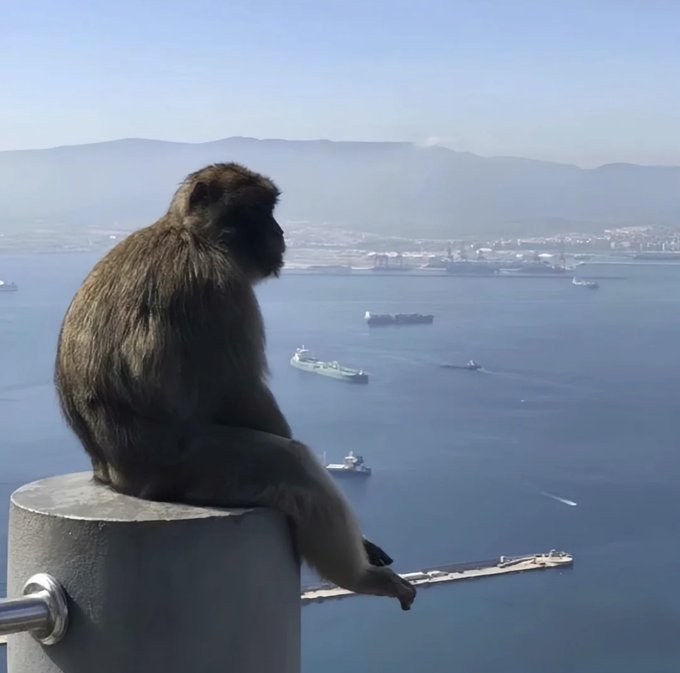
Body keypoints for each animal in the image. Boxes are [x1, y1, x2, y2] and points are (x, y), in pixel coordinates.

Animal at [54, 162, 416, 611]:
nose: (279, 230)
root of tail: (113, 477)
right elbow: (243, 394)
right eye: (258, 209)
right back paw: (361, 577)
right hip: (187, 470)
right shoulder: (220, 286)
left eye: (271, 209)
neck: (190, 234)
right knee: (293, 464)